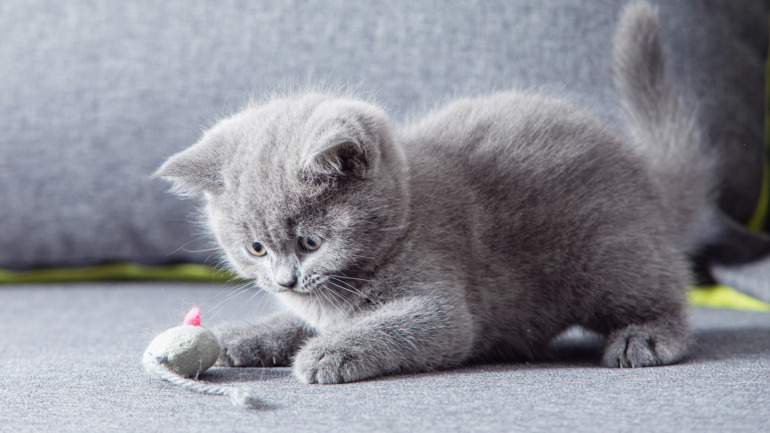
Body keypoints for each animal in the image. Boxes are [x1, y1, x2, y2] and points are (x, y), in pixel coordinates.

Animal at [154, 1, 708, 384]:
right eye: (256, 248)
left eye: (311, 242)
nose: (286, 281)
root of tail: (646, 174)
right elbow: (295, 321)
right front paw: (241, 335)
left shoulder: (444, 309)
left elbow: (395, 326)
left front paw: (327, 353)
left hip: (610, 255)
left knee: (667, 291)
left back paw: (645, 336)